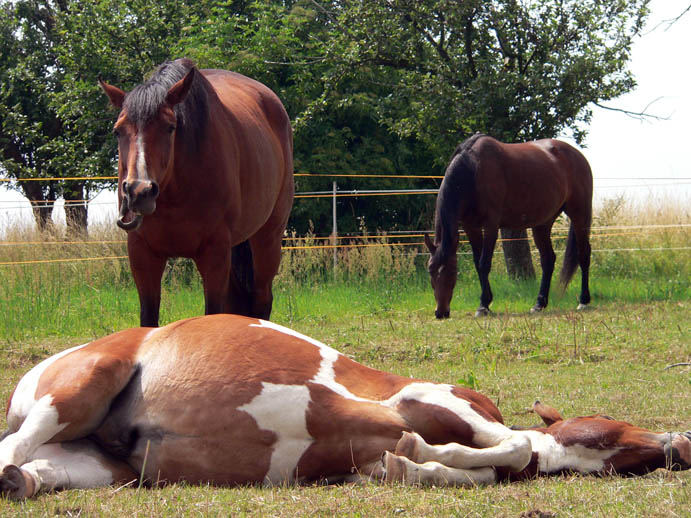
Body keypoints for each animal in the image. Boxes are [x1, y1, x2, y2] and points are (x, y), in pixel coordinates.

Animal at [1, 312, 691, 500]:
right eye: (623, 426)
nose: (679, 444)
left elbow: (463, 467)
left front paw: (416, 463)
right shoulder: (420, 396)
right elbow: (515, 445)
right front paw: (424, 451)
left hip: (105, 466)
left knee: (33, 468)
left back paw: (24, 482)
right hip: (79, 387)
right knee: (12, 447)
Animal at [98, 61, 294, 328]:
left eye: (170, 127)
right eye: (118, 131)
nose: (139, 191)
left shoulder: (215, 254)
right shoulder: (142, 254)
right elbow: (148, 319)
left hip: (268, 239)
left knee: (262, 299)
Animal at [424, 134, 592, 318]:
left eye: (452, 271)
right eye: (430, 270)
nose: (441, 312)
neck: (473, 169)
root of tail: (578, 155)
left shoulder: (491, 226)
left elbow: (484, 264)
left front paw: (483, 305)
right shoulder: (471, 227)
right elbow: (477, 263)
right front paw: (486, 302)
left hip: (580, 215)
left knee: (584, 254)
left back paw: (583, 301)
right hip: (543, 224)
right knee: (548, 260)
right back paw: (539, 304)